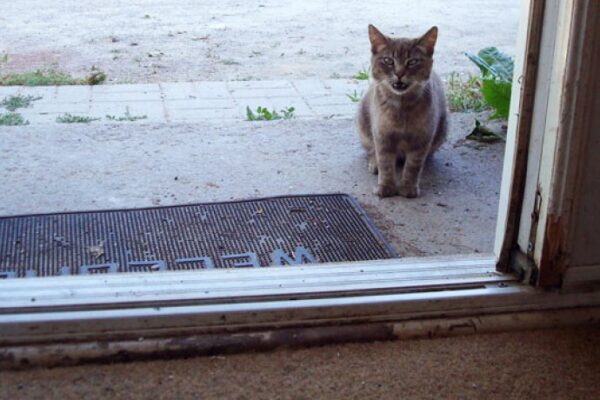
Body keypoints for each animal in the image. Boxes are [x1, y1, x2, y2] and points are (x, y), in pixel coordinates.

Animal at [356, 24, 446, 198]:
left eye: (413, 62)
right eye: (388, 61)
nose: (399, 73)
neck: (401, 108)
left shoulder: (422, 139)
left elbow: (413, 166)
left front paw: (408, 188)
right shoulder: (382, 136)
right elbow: (385, 163)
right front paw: (385, 187)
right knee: (370, 150)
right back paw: (374, 163)